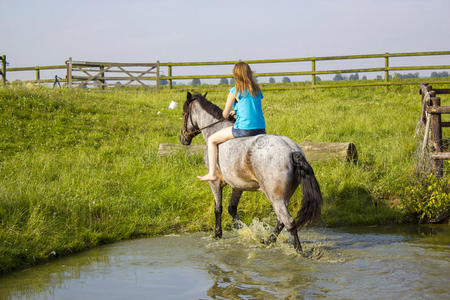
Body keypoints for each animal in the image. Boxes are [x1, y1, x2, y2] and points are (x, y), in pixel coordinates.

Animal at [178, 91, 320, 251]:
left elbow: (218, 208)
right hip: (284, 195)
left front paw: (218, 234)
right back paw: (267, 241)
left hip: (275, 196)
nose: (183, 138)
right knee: (281, 221)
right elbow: (231, 208)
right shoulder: (238, 185)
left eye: (183, 113)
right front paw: (245, 230)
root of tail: (291, 151)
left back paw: (298, 251)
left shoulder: (215, 183)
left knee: (288, 221)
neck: (216, 129)